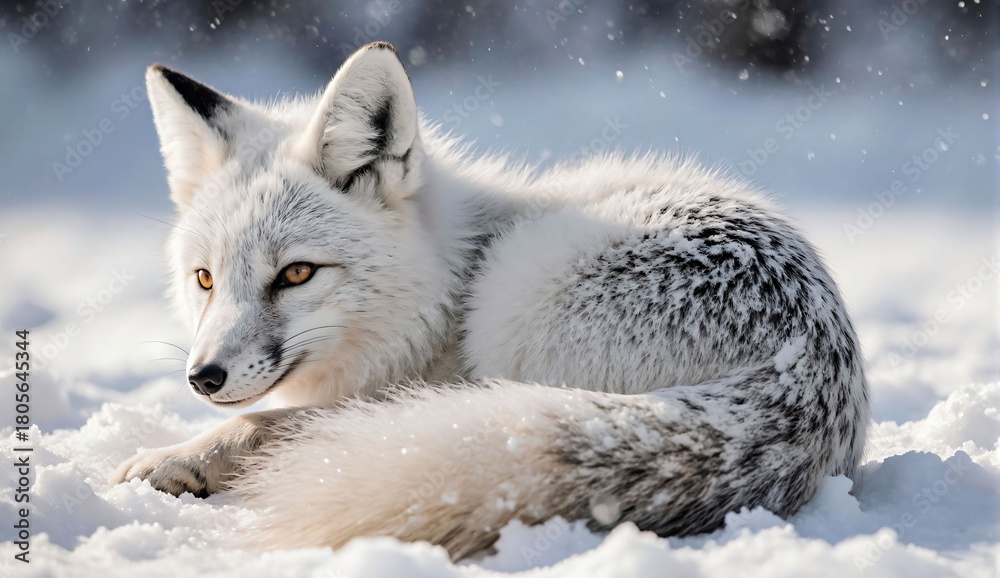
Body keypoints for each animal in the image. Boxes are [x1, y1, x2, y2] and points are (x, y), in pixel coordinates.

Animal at [110, 41, 870, 559]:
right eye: (205, 279)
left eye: (296, 274)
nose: (203, 378)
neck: (446, 289)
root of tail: (806, 368)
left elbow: (264, 424)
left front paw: (180, 457)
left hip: (516, 306)